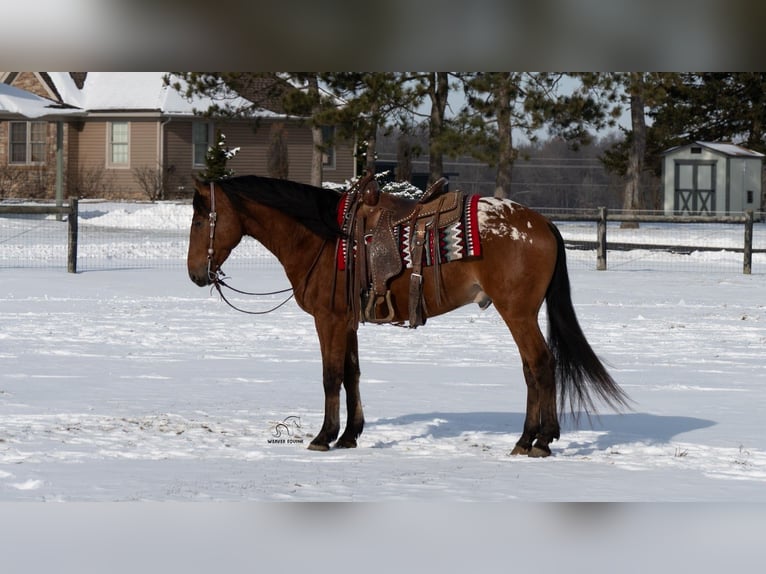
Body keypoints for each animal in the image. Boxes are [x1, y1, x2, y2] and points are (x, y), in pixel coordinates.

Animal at [187, 175, 629, 457]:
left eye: (201, 219)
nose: (195, 274)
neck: (323, 237)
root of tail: (543, 223)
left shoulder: (328, 319)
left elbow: (331, 376)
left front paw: (324, 436)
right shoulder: (348, 322)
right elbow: (351, 374)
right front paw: (350, 435)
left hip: (517, 313)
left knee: (540, 364)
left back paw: (536, 441)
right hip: (522, 314)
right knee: (532, 369)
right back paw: (531, 438)